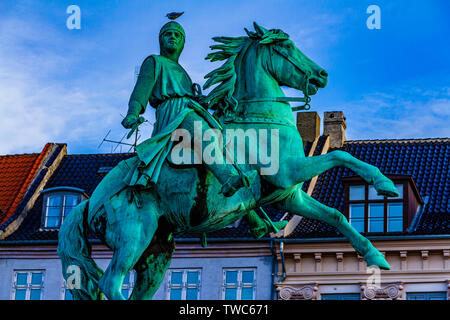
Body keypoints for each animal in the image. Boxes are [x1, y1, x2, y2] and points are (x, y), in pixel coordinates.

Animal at [58, 22, 400, 300]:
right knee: (110, 283)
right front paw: (384, 184)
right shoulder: (289, 173)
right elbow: (341, 154)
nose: (322, 74)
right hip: (133, 236)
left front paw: (375, 256)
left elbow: (335, 215)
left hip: (157, 251)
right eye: (286, 46)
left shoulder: (289, 196)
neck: (262, 121)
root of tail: (90, 201)